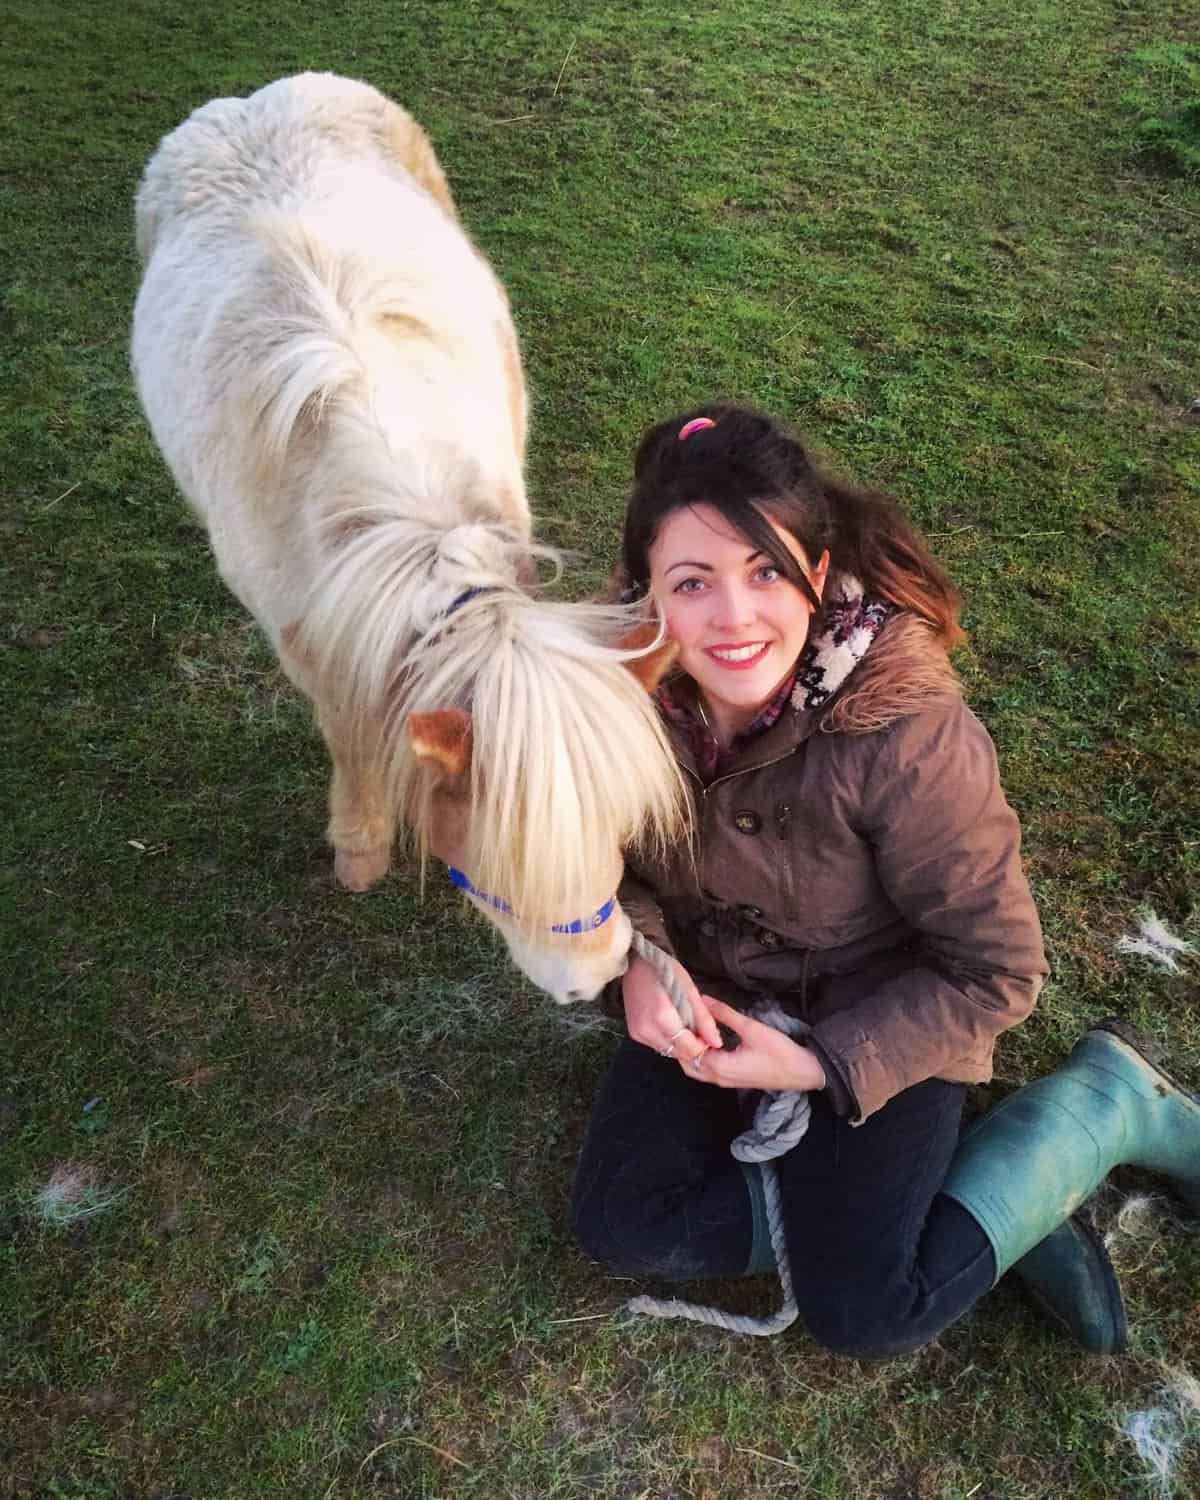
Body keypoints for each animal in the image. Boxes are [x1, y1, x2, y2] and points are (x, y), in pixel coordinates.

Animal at [131, 72, 685, 1003]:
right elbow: (352, 733)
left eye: (619, 827)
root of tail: (259, 98)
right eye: (506, 857)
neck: (410, 523)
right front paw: (359, 848)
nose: (600, 978)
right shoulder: (311, 645)